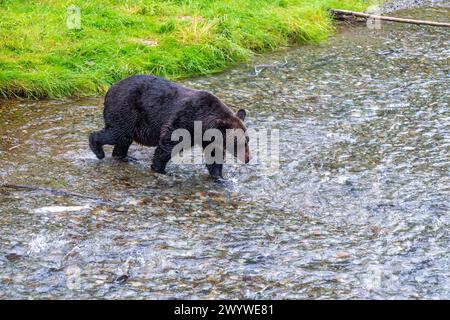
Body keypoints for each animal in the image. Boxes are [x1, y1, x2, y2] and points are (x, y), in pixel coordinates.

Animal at [88, 75, 250, 180]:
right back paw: (98, 150)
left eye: (247, 140)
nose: (248, 158)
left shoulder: (209, 138)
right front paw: (159, 169)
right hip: (125, 110)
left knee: (123, 140)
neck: (203, 122)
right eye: (238, 143)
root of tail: (110, 89)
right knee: (117, 133)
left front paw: (219, 177)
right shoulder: (184, 120)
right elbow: (167, 144)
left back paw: (125, 157)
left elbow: (214, 156)